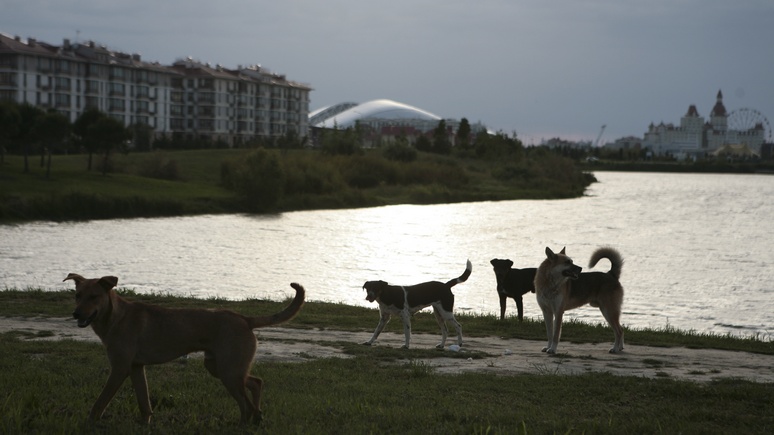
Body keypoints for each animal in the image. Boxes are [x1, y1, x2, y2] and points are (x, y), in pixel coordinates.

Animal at [65, 274, 306, 424]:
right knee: (256, 383)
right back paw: (257, 418)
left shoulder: (119, 368)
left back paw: (244, 424)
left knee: (245, 404)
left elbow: (100, 402)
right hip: (220, 367)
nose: (76, 314)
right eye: (77, 296)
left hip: (228, 372)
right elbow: (144, 403)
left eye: (94, 296)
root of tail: (245, 319)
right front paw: (145, 424)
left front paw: (90, 422)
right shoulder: (135, 368)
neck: (116, 317)